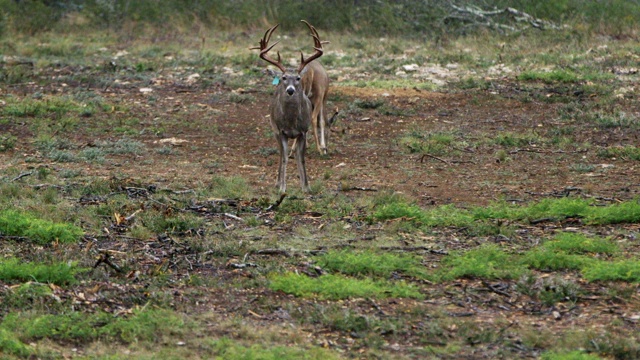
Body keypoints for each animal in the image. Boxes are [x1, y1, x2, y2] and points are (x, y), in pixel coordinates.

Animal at [252, 20, 328, 193]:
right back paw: (277, 182)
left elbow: (302, 158)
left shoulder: (303, 131)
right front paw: (282, 187)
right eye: (284, 77)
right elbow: (284, 158)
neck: (292, 121)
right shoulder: (281, 131)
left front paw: (306, 187)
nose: (290, 90)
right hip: (274, 128)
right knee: (281, 155)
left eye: (298, 78)